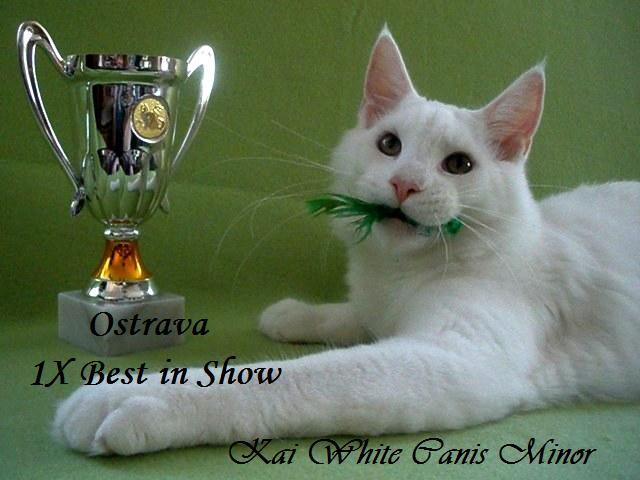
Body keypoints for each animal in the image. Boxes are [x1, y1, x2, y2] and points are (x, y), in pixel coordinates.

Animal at [54, 27, 640, 455]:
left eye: (458, 165)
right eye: (389, 145)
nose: (406, 184)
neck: (402, 273)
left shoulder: (457, 356)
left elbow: (297, 378)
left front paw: (130, 400)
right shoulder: (385, 311)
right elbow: (355, 315)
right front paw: (294, 315)